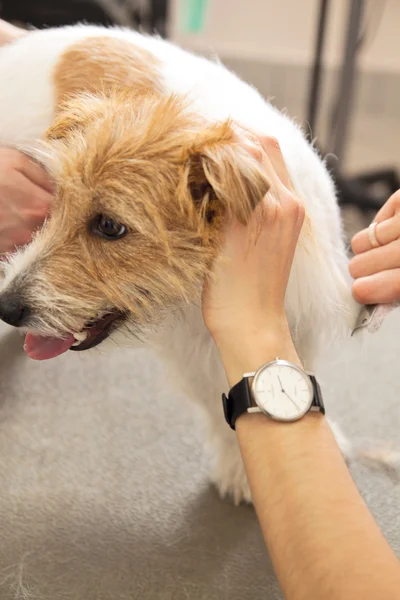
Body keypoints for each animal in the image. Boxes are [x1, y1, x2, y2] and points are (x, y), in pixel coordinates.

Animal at [0, 24, 360, 502]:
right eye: (54, 205)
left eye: (109, 226)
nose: (5, 307)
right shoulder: (191, 350)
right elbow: (216, 397)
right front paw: (239, 469)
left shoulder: (302, 318)